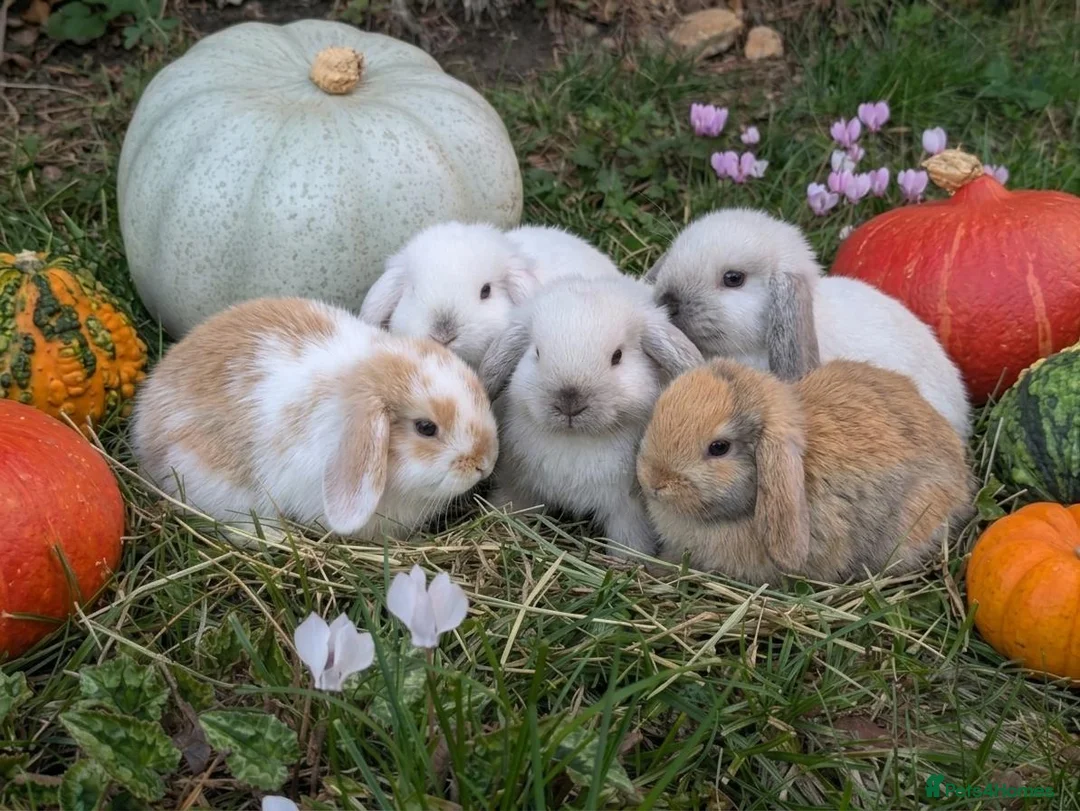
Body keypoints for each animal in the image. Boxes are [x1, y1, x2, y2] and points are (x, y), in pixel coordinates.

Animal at [479, 274, 703, 557]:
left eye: (617, 356)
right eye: (537, 353)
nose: (569, 403)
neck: (575, 440)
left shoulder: (628, 512)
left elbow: (629, 542)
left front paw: (628, 560)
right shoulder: (517, 484)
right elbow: (512, 505)